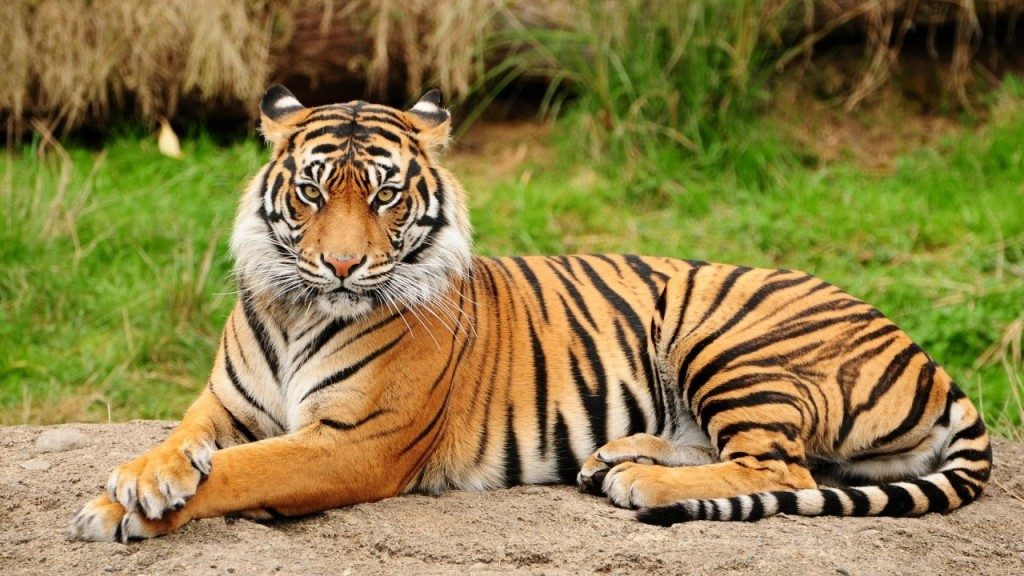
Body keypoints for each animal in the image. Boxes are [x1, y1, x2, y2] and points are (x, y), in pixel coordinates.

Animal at [70, 86, 991, 542]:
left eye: (385, 196)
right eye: (312, 191)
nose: (341, 264)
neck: (300, 309)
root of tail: (928, 356)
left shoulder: (354, 442)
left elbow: (244, 471)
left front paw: (122, 509)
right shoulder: (223, 404)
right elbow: (184, 443)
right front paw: (140, 480)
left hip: (728, 338)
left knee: (785, 469)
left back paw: (641, 481)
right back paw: (616, 457)